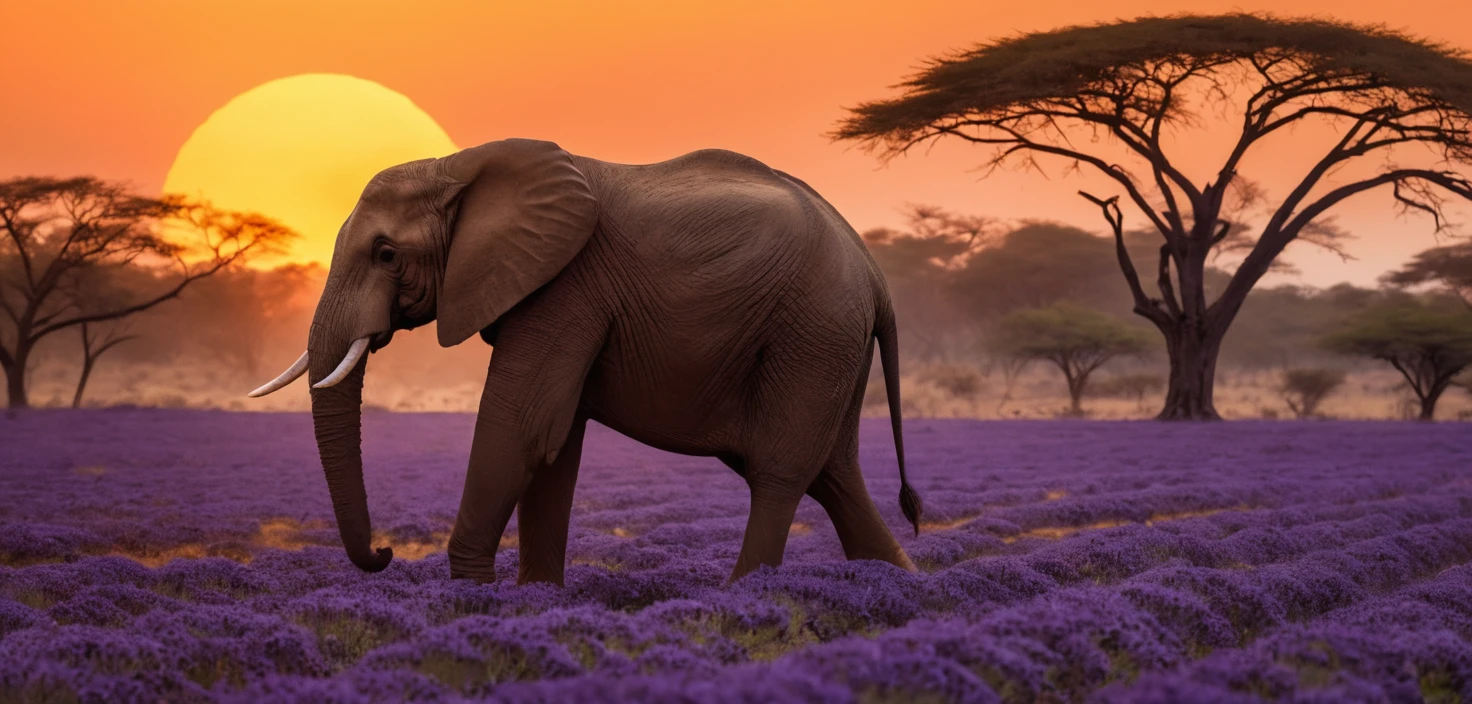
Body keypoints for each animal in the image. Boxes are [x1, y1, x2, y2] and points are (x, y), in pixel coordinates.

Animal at [249, 138, 922, 585]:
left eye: (386, 254)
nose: (385, 554)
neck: (460, 167)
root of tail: (875, 274)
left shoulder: (567, 288)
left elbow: (520, 428)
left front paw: (471, 600)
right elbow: (553, 444)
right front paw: (535, 601)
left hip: (812, 331)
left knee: (780, 474)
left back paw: (743, 599)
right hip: (829, 341)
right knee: (834, 477)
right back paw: (903, 593)